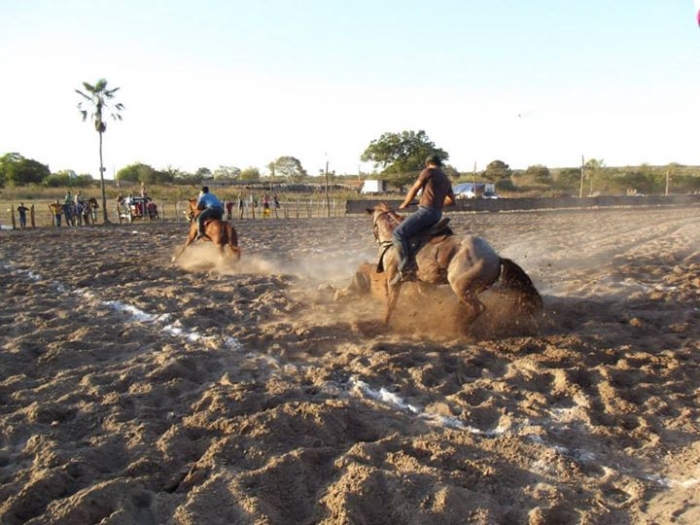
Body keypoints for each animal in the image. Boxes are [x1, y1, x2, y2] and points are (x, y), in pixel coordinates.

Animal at [367, 203, 542, 329]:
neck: (393, 239)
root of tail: (496, 258)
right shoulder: (421, 282)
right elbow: (422, 297)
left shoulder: (393, 281)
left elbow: (390, 304)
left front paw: (384, 324)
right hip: (470, 290)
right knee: (467, 307)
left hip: (460, 287)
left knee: (478, 308)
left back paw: (458, 328)